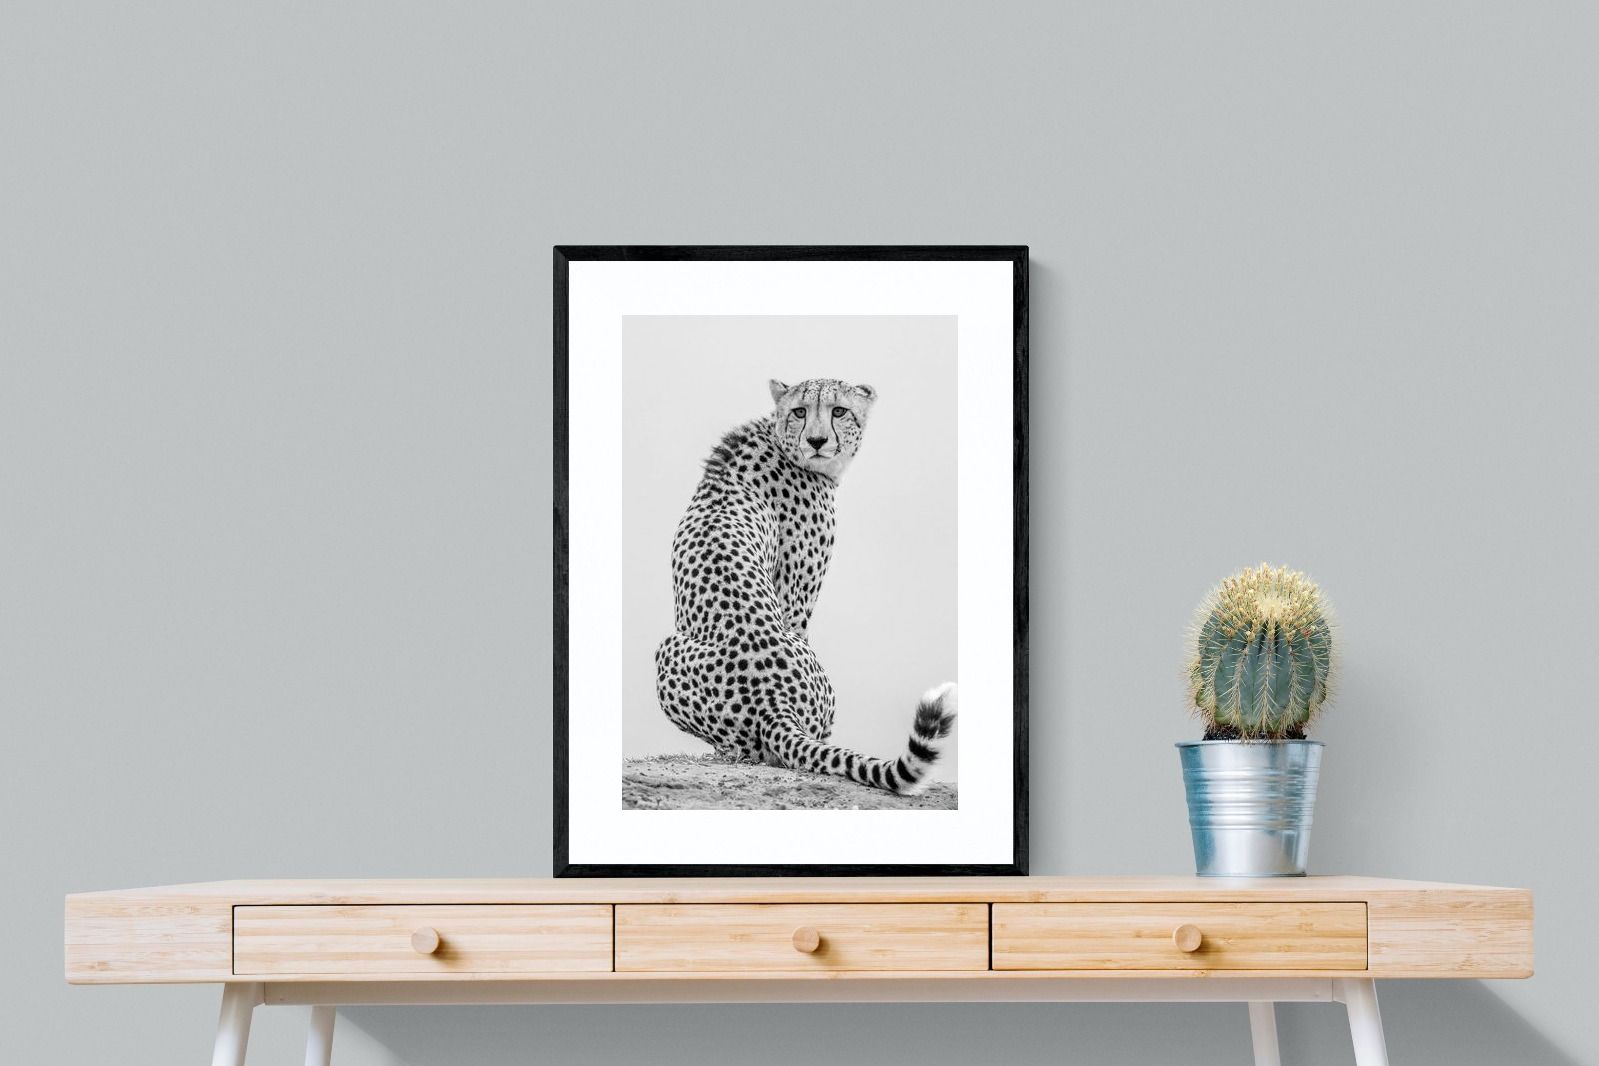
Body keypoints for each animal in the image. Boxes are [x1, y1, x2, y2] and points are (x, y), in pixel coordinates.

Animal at [653, 376, 957, 795]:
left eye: (838, 410)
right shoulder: (795, 598)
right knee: (761, 750)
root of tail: (773, 702)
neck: (779, 439)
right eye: (800, 411)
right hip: (670, 649)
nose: (816, 440)